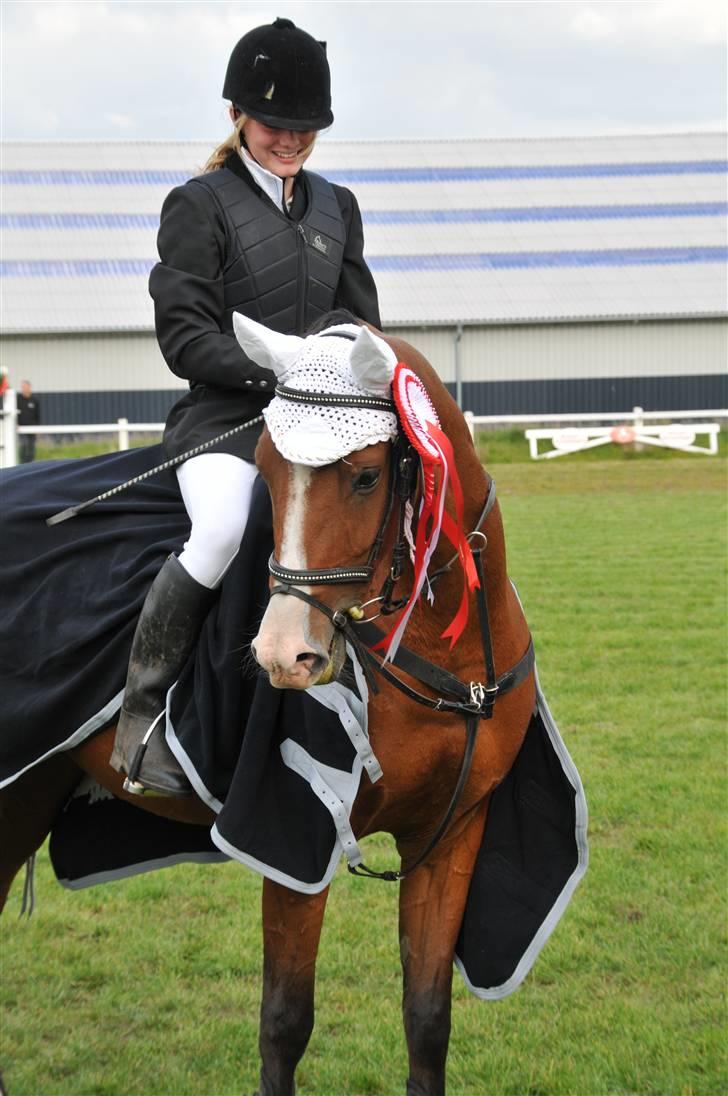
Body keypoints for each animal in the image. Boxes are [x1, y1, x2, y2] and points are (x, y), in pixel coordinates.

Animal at [0, 320, 535, 1096]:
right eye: (266, 470)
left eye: (366, 476)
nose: (286, 656)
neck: (437, 648)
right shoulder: (293, 833)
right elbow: (284, 1022)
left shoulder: (452, 835)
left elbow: (429, 1019)